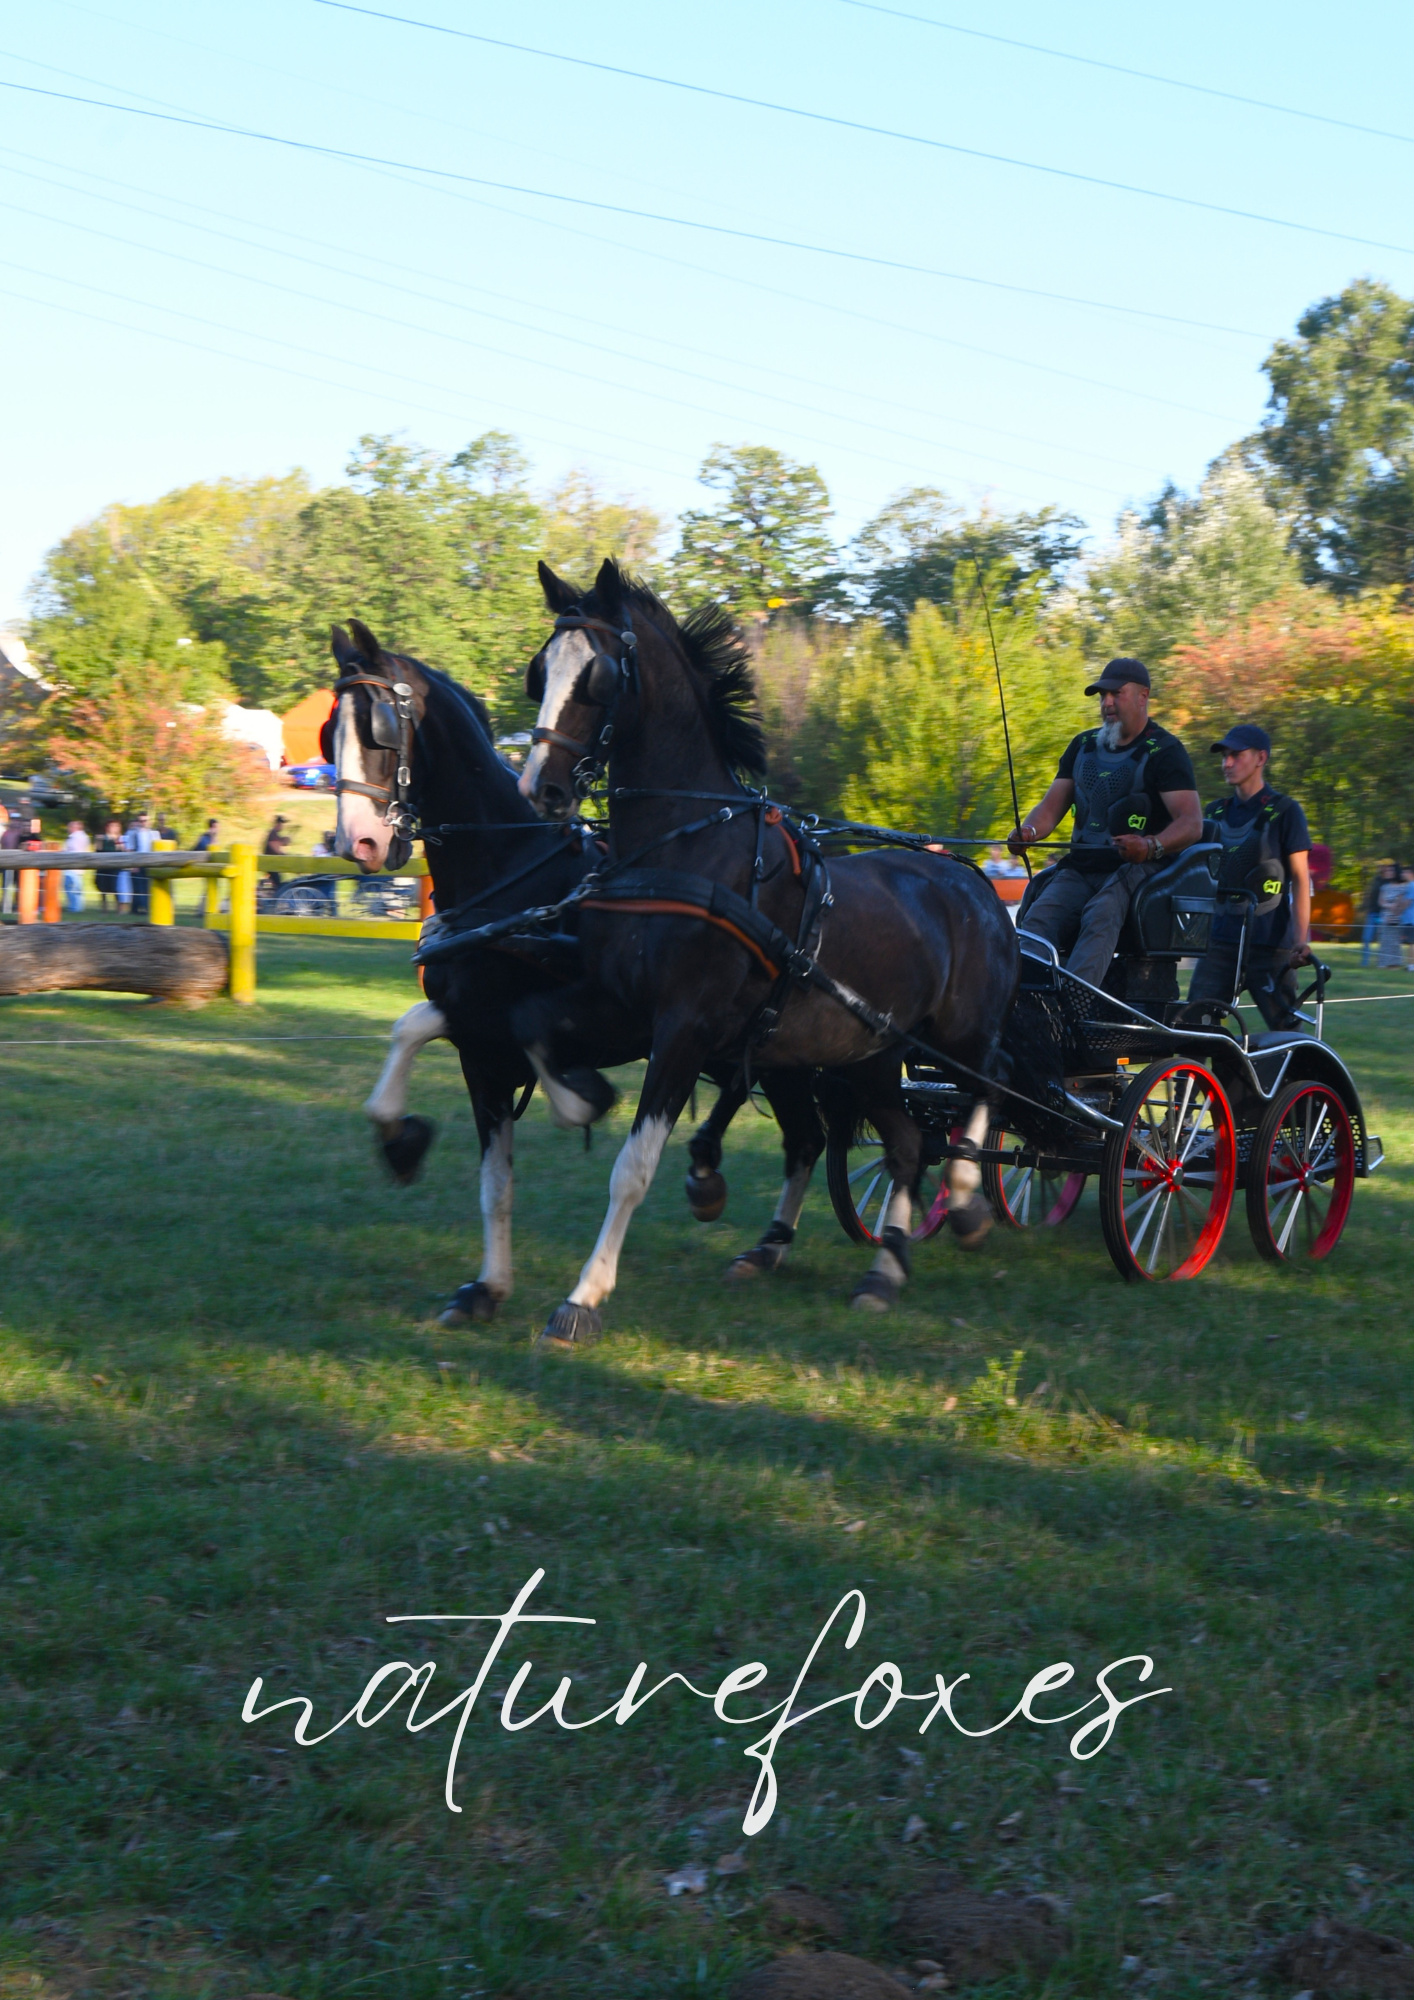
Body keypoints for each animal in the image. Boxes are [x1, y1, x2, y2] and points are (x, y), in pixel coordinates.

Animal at [326, 619, 778, 1325]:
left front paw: (586, 1099)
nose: (358, 843)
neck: (510, 870)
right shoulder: (475, 1032)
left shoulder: (608, 1020)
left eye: (377, 729)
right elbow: (482, 1158)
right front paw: (408, 1149)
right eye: (329, 731)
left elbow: (548, 1065)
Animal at [514, 559, 1021, 1346]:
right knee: (907, 1141)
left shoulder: (684, 1025)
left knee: (989, 1084)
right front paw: (578, 1101)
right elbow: (533, 1025)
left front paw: (585, 1296)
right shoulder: (617, 1003)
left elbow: (635, 1164)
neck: (687, 846)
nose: (542, 789)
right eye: (541, 671)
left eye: (597, 677)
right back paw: (885, 1268)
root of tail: (973, 880)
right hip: (872, 1051)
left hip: (957, 1033)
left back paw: (966, 1201)